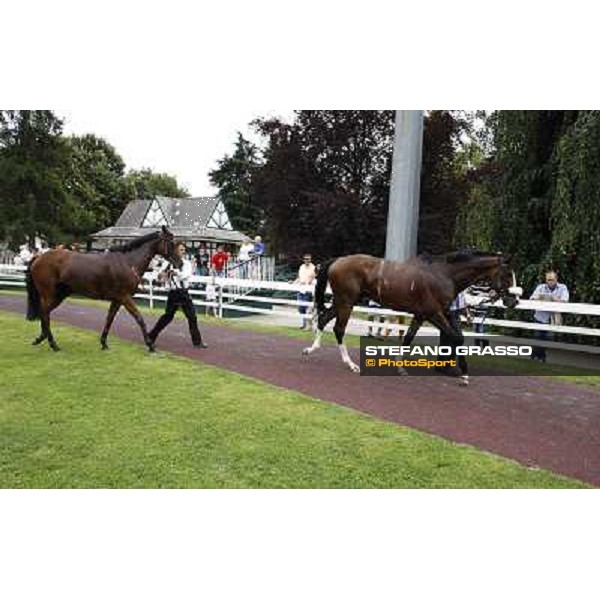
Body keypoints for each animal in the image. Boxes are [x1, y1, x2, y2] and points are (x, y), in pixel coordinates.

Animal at [25, 227, 180, 354]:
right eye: (171, 242)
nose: (180, 262)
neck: (127, 262)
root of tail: (38, 258)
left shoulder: (117, 299)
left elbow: (109, 319)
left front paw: (104, 343)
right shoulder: (125, 297)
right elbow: (139, 318)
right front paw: (150, 345)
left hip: (59, 295)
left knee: (44, 313)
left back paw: (42, 338)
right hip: (50, 294)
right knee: (44, 313)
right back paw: (52, 343)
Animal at [304, 250, 520, 382]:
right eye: (507, 274)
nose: (514, 300)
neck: (445, 274)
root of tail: (337, 260)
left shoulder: (421, 314)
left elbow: (408, 338)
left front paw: (400, 367)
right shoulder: (434, 313)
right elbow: (457, 338)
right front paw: (465, 375)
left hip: (342, 301)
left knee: (323, 319)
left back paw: (311, 349)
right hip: (346, 302)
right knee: (338, 328)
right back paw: (351, 365)